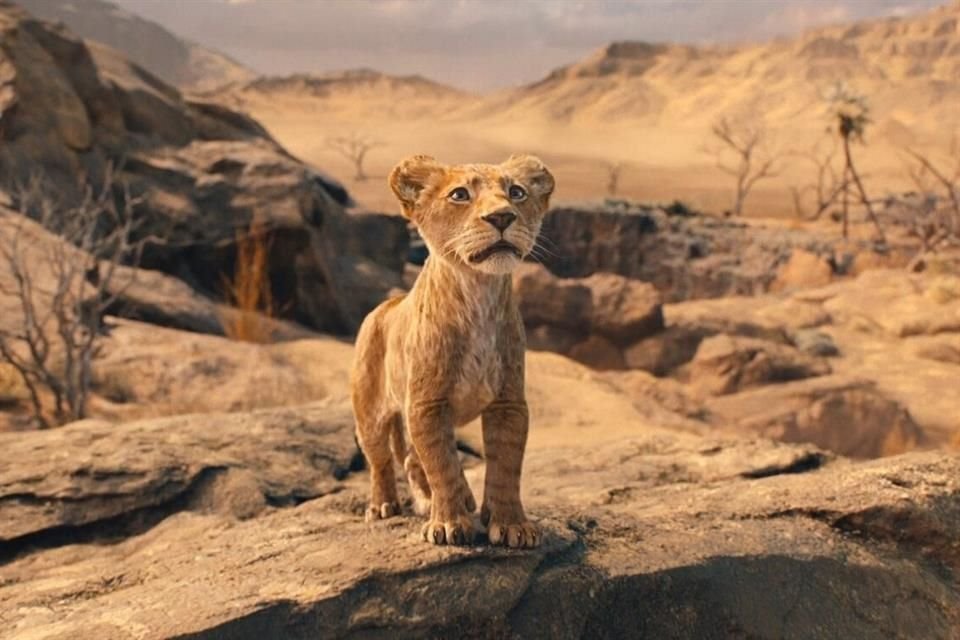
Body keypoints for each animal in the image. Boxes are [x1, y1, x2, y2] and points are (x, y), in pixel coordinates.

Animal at [350, 154, 555, 548]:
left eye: (516, 192)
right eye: (460, 194)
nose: (502, 217)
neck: (478, 294)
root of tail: (386, 304)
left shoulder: (508, 403)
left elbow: (506, 465)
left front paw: (511, 524)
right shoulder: (427, 404)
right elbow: (442, 464)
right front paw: (447, 524)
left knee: (413, 460)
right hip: (370, 413)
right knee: (382, 460)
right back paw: (383, 505)